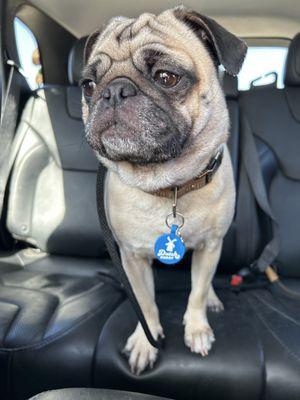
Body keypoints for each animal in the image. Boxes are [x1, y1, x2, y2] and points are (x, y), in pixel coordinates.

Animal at [81, 5, 247, 376]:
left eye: (166, 77)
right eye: (88, 85)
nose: (113, 91)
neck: (169, 186)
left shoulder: (211, 246)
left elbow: (196, 292)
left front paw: (197, 328)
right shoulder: (132, 256)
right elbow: (145, 302)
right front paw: (146, 341)